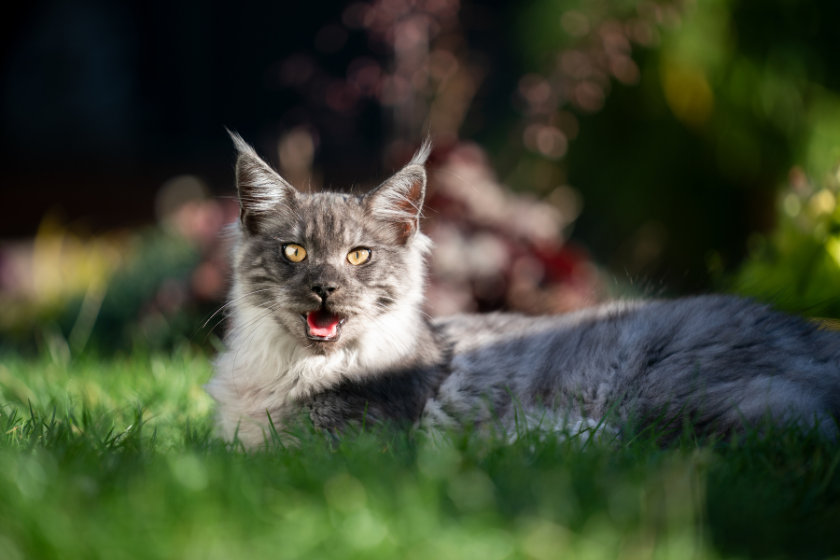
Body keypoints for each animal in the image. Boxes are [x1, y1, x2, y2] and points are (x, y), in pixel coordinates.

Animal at [205, 133, 840, 448]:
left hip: (678, 400)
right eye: (294, 252)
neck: (290, 372)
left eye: (359, 255)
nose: (324, 289)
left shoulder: (346, 446)